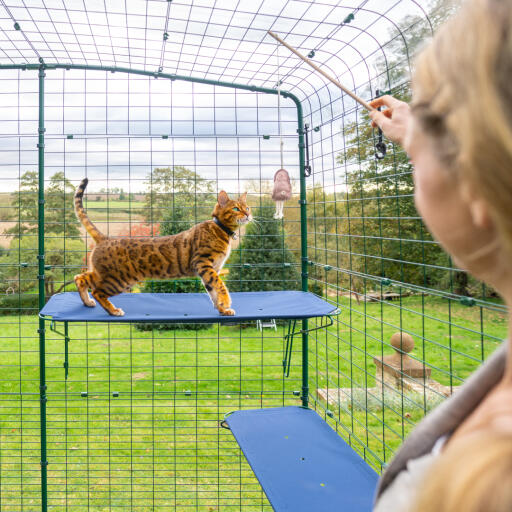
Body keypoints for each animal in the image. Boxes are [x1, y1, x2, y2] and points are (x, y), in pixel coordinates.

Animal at [72, 179, 252, 316]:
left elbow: (212, 291)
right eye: (236, 208)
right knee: (97, 291)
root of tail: (105, 238)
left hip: (107, 274)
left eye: (247, 207)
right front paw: (226, 302)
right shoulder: (203, 264)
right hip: (120, 279)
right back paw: (113, 311)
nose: (248, 214)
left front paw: (222, 310)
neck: (220, 229)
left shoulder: (211, 269)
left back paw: (87, 302)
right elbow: (220, 285)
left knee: (80, 278)